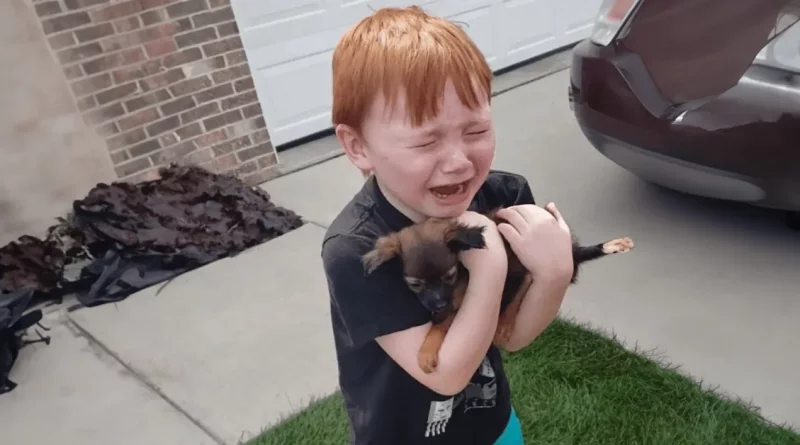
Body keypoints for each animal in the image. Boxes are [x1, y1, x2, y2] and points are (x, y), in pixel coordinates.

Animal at [360, 206, 632, 372]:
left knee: (522, 288)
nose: (438, 305)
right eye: (415, 284)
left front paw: (426, 352)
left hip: (522, 269)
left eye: (450, 276)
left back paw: (504, 324)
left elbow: (442, 325)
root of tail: (572, 251)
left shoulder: (459, 301)